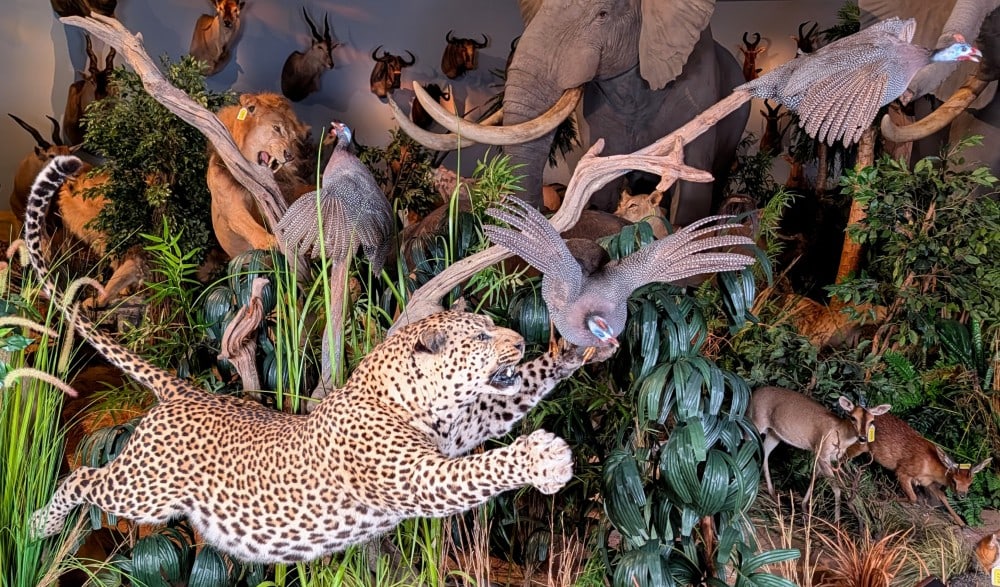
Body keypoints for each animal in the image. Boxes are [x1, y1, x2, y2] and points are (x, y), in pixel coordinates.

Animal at [26, 155, 610, 564]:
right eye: (483, 336)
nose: (518, 341)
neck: (416, 404)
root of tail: (185, 390)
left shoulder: (464, 429)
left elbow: (514, 398)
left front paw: (579, 349)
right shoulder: (420, 477)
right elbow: (484, 468)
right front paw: (541, 460)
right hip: (145, 489)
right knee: (82, 480)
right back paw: (40, 525)